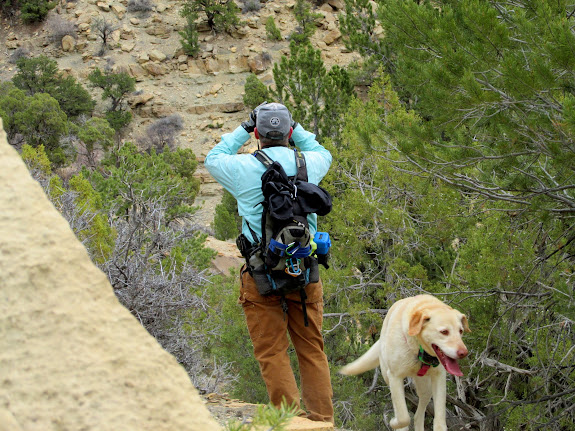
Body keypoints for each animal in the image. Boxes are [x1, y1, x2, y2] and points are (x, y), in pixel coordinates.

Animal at [340, 296, 470, 431]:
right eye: (444, 332)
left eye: (460, 331)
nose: (464, 353)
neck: (418, 350)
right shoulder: (395, 377)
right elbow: (403, 417)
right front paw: (393, 422)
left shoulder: (439, 377)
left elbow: (439, 422)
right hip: (388, 378)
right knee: (402, 411)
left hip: (425, 388)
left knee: (418, 415)